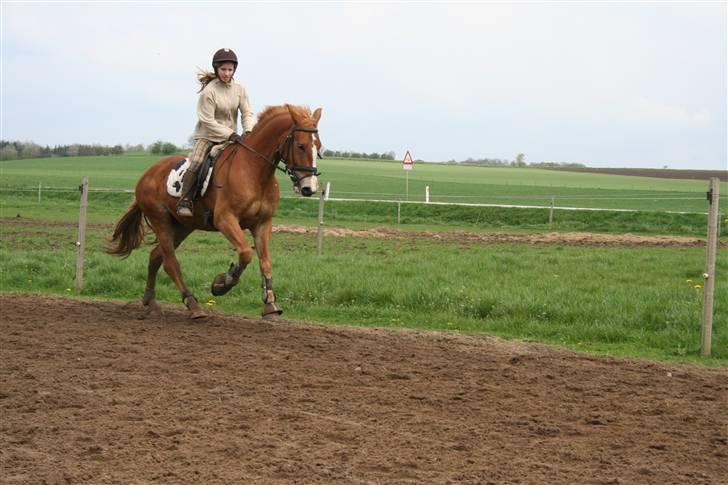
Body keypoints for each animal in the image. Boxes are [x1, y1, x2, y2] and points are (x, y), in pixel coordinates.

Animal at [106, 104, 322, 320]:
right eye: (301, 146)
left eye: (318, 147)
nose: (309, 188)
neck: (254, 171)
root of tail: (146, 174)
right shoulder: (225, 220)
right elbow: (245, 253)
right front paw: (221, 283)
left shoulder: (262, 223)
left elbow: (266, 262)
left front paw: (270, 304)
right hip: (161, 221)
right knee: (170, 263)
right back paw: (193, 305)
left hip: (183, 226)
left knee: (156, 256)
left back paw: (150, 301)